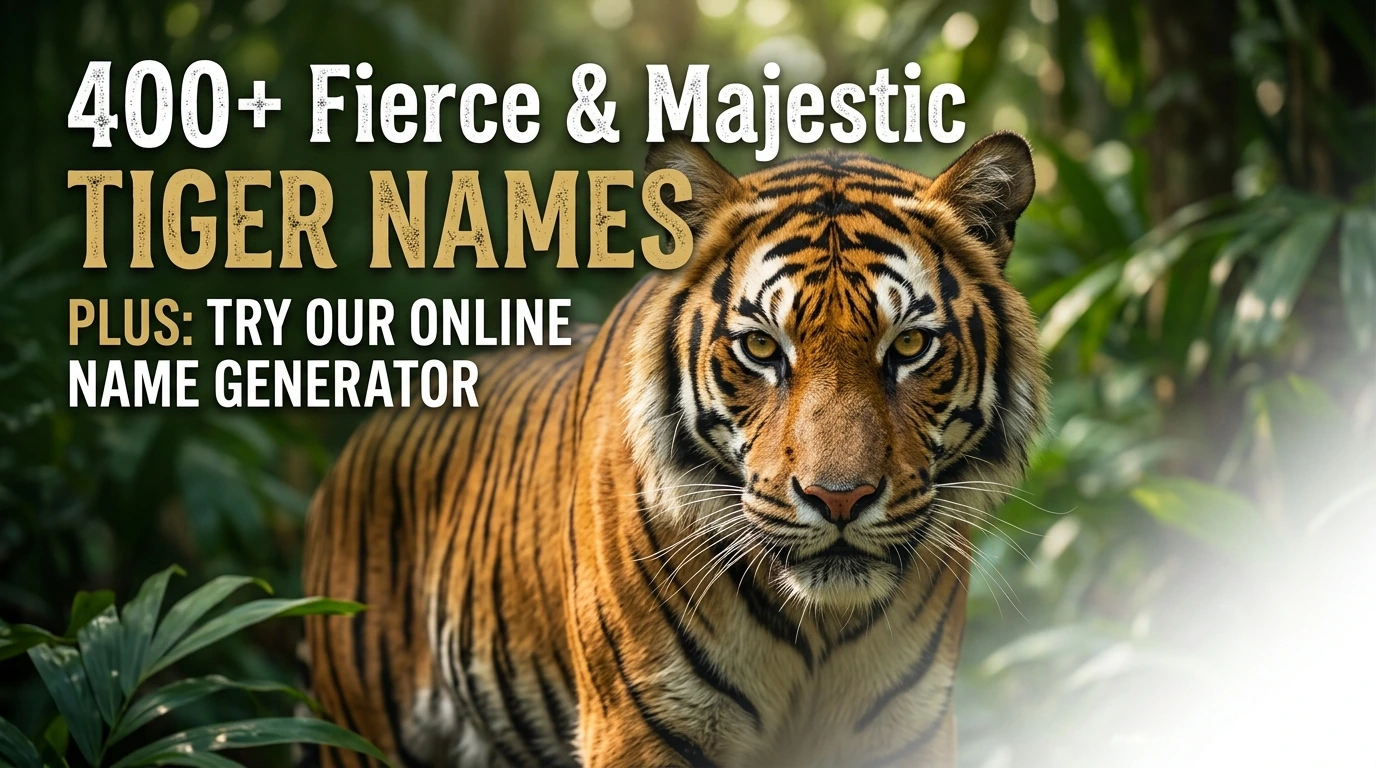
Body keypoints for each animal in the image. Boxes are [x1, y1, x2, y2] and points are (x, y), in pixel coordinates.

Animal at [302, 131, 1048, 768]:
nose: (840, 499)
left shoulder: (904, 730)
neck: (817, 630)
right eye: (761, 347)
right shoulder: (641, 726)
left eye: (910, 345)